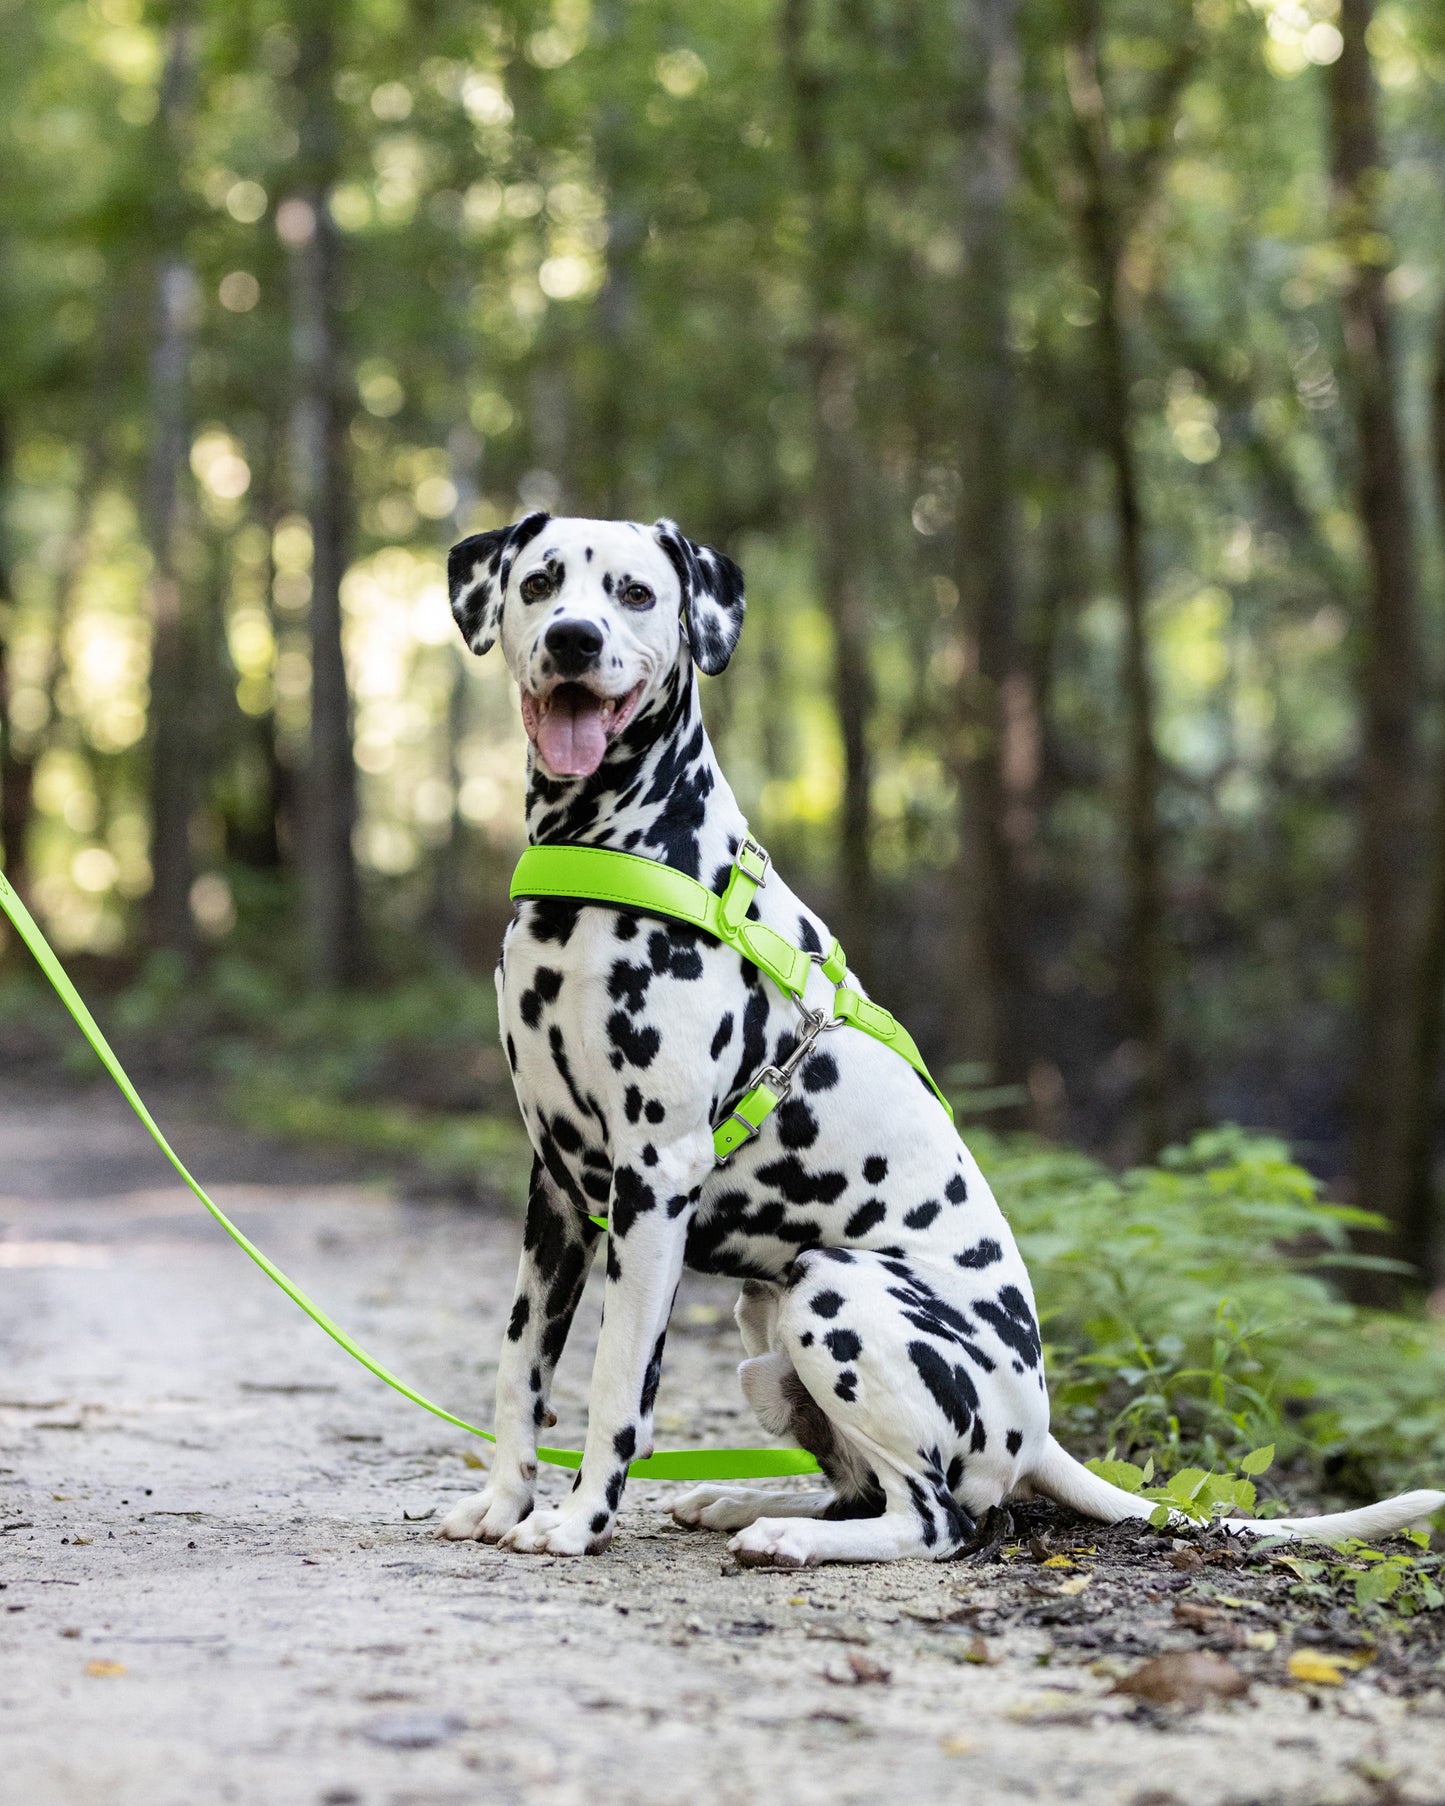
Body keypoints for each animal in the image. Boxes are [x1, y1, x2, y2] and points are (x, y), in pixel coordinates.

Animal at [435, 512, 1445, 1567]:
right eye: (541, 582)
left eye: (634, 594)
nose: (572, 641)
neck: (608, 854)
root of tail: (1039, 1431)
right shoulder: (557, 1187)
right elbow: (519, 1368)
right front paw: (502, 1503)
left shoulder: (652, 1180)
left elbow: (616, 1384)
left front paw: (577, 1520)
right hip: (766, 1325)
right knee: (858, 1491)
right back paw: (745, 1505)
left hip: (832, 1291)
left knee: (935, 1520)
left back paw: (787, 1535)